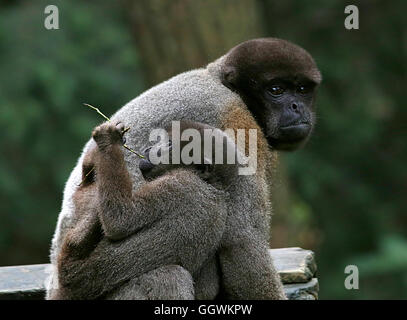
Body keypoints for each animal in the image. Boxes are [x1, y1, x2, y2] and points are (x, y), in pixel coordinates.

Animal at [47, 38, 322, 300]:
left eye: (302, 90)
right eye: (276, 90)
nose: (297, 106)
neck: (220, 81)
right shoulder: (239, 120)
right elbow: (243, 243)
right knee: (199, 208)